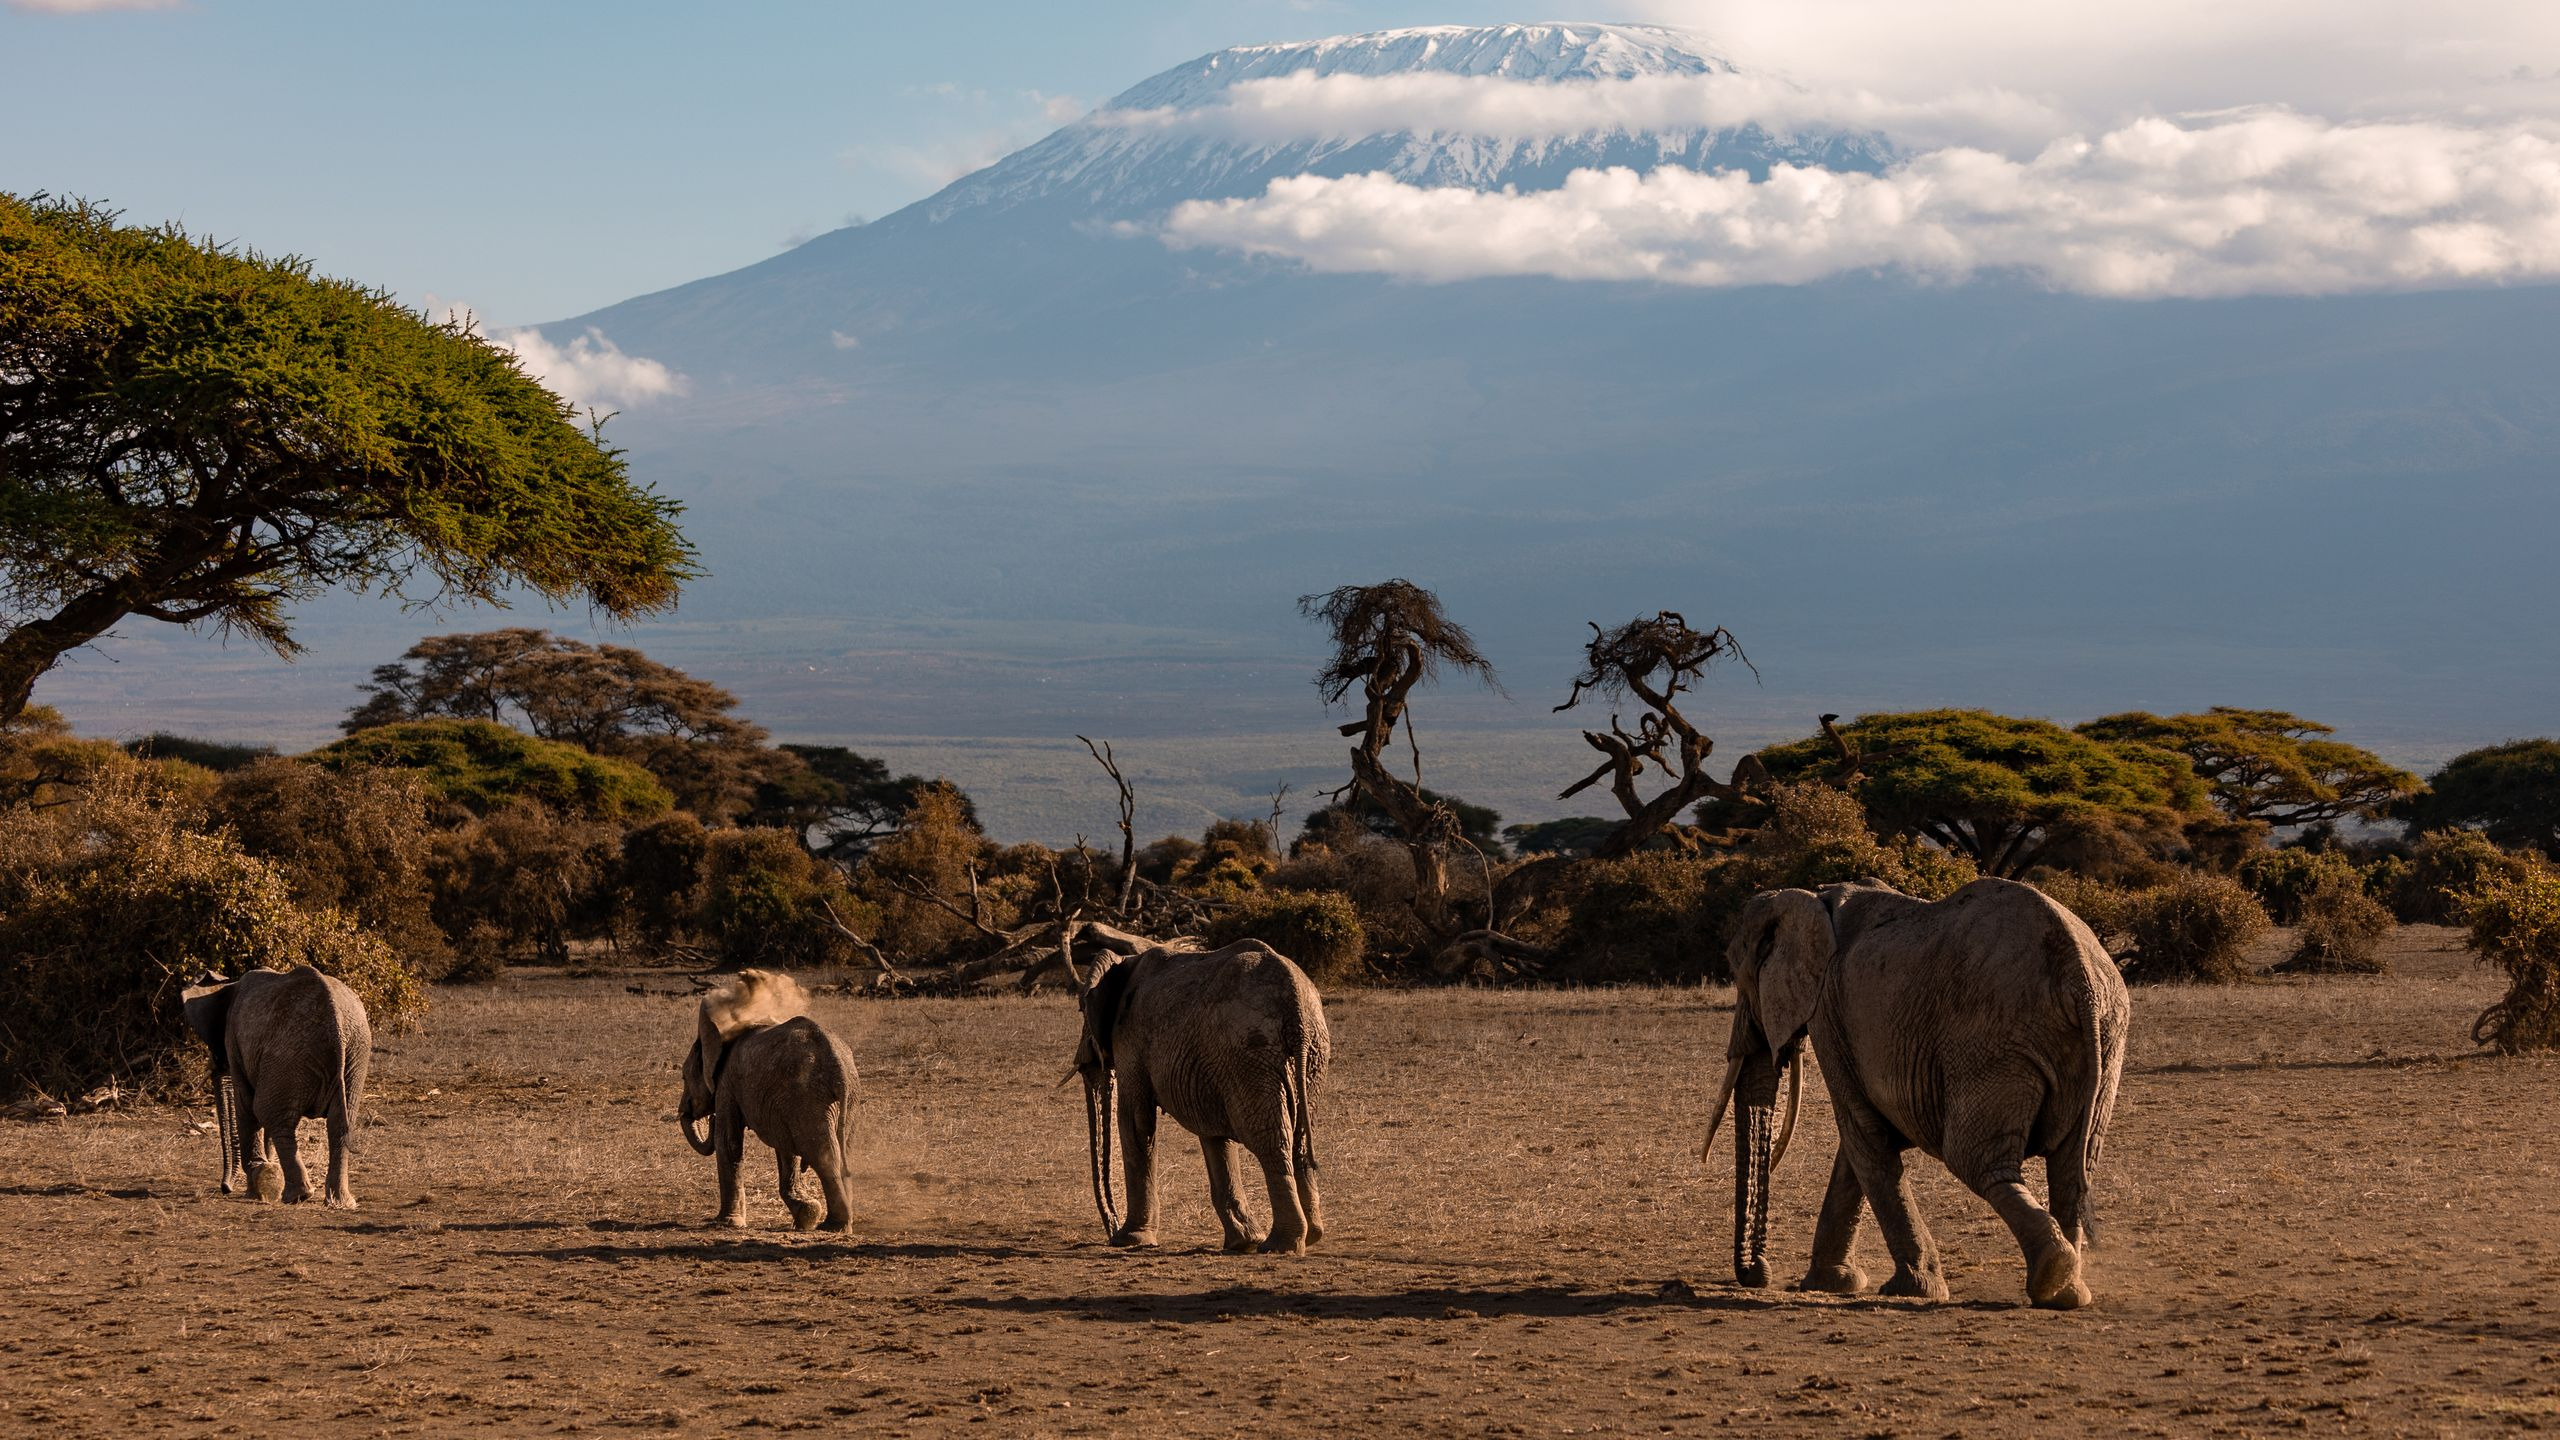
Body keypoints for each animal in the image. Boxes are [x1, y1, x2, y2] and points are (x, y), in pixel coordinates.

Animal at [181, 966, 371, 1208]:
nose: (225, 1189)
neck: (228, 984)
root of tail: (335, 1022)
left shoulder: (234, 1039)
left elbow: (246, 1106)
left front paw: (254, 1188)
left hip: (289, 1053)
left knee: (268, 1113)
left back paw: (297, 1196)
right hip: (355, 1052)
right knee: (338, 1123)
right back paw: (340, 1203)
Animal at [677, 969, 858, 1232]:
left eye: (683, 1076)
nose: (709, 1118)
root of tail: (837, 1064)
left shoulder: (727, 1083)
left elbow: (728, 1142)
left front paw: (726, 1224)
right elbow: (786, 1148)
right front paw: (806, 1216)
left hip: (810, 1096)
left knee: (825, 1155)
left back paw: (833, 1226)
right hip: (840, 1100)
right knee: (842, 1150)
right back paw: (837, 1223)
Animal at [1070, 940, 1329, 1254]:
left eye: (1081, 1008)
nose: (1111, 1231)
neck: (1125, 960)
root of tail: (1295, 1003)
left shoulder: (1130, 1037)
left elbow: (1135, 1121)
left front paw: (1129, 1241)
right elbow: (1214, 1134)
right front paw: (1242, 1242)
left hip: (1250, 1052)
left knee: (1270, 1140)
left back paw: (1279, 1245)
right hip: (1309, 1054)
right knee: (1299, 1138)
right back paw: (1310, 1236)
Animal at [1705, 876, 2129, 1309]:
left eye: (1739, 975)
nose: (1758, 1274)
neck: (1811, 898)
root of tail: (2078, 977)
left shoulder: (1828, 1012)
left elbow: (1862, 1133)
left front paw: (1911, 1289)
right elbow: (1859, 1145)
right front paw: (1833, 1283)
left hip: (1992, 1040)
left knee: (1976, 1159)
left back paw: (2052, 1274)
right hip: (2104, 1038)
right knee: (2072, 1167)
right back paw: (2067, 1291)